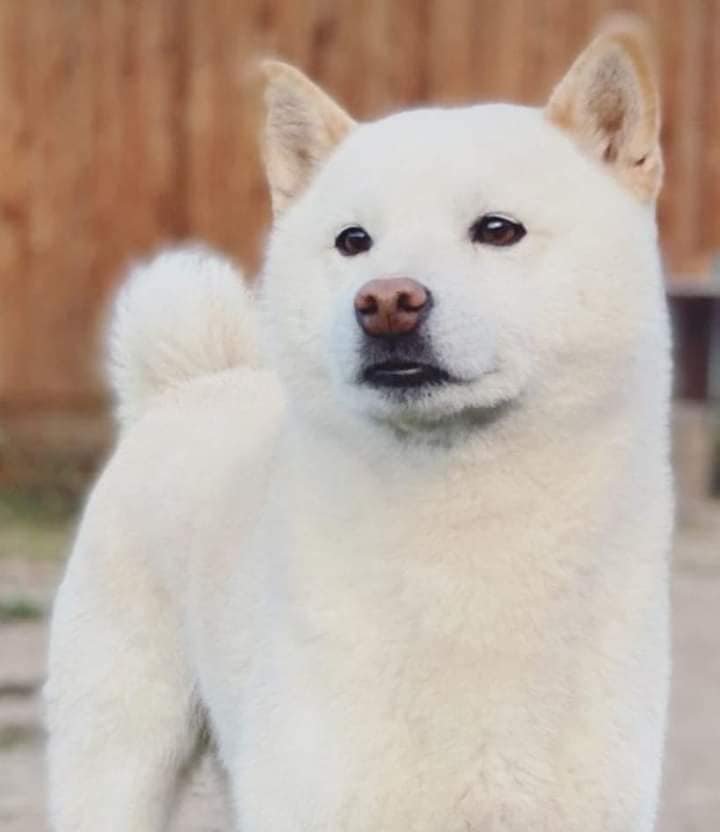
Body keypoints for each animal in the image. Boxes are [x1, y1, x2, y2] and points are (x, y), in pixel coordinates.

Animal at [46, 19, 676, 832]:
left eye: (497, 229)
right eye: (353, 241)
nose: (386, 302)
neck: (462, 539)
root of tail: (185, 388)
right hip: (120, 756)